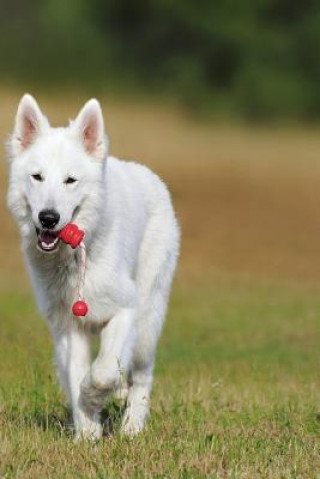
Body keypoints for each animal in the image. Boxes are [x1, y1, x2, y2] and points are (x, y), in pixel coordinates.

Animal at [6, 95, 180, 440]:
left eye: (70, 180)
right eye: (37, 177)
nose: (48, 218)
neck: (75, 257)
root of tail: (151, 177)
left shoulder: (126, 309)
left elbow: (102, 371)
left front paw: (94, 397)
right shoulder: (69, 327)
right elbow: (77, 375)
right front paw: (87, 432)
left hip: (147, 320)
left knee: (142, 375)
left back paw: (132, 427)